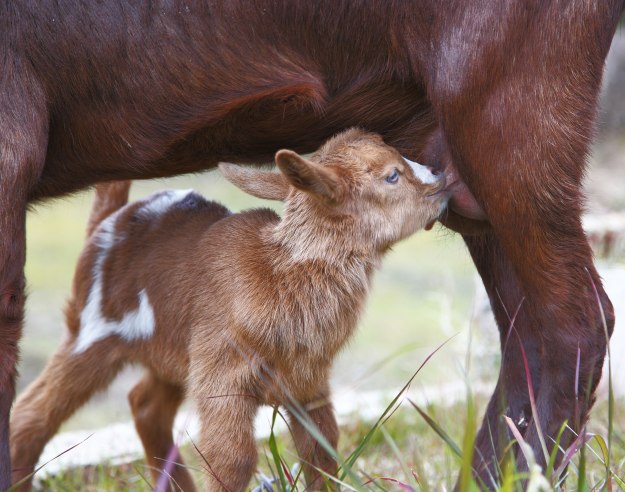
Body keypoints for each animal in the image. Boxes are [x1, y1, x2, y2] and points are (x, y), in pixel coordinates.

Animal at [11, 129, 448, 490]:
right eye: (392, 176)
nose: (441, 177)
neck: (281, 275)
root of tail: (108, 222)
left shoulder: (308, 380)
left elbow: (321, 449)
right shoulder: (222, 378)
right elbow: (232, 460)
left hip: (173, 352)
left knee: (145, 405)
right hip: (91, 333)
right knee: (32, 416)